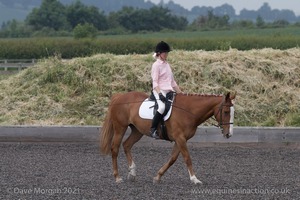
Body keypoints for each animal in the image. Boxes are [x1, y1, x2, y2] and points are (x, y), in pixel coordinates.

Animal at [101, 91, 237, 184]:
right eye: (226, 112)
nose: (229, 134)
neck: (188, 111)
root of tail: (119, 96)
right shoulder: (180, 138)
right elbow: (187, 158)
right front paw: (194, 179)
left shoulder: (180, 139)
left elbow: (173, 159)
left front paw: (158, 176)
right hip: (120, 128)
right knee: (115, 149)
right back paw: (117, 177)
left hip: (137, 131)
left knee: (127, 145)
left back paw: (132, 173)